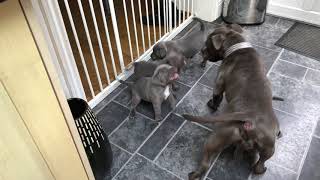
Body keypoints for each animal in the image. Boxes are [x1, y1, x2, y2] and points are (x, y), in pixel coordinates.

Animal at [181, 24, 282, 180]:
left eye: (208, 44)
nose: (202, 51)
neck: (237, 46)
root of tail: (250, 119)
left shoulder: (218, 83)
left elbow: (216, 97)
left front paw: (211, 104)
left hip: (216, 138)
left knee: (205, 163)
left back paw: (193, 174)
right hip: (269, 147)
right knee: (260, 164)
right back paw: (262, 168)